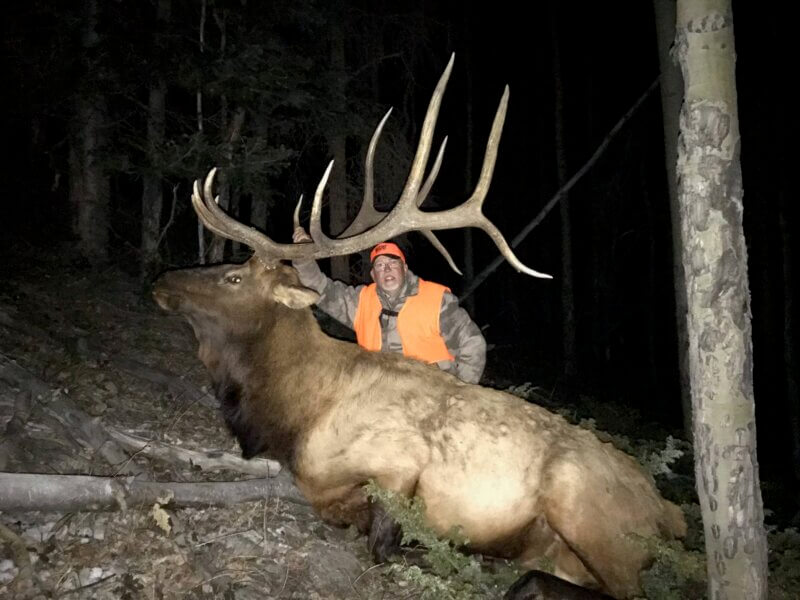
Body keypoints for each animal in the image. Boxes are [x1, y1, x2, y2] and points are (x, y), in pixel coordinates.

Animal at [152, 55, 686, 599]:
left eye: (234, 276)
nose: (163, 280)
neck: (294, 412)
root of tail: (670, 512)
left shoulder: (398, 468)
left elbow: (382, 544)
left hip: (582, 504)